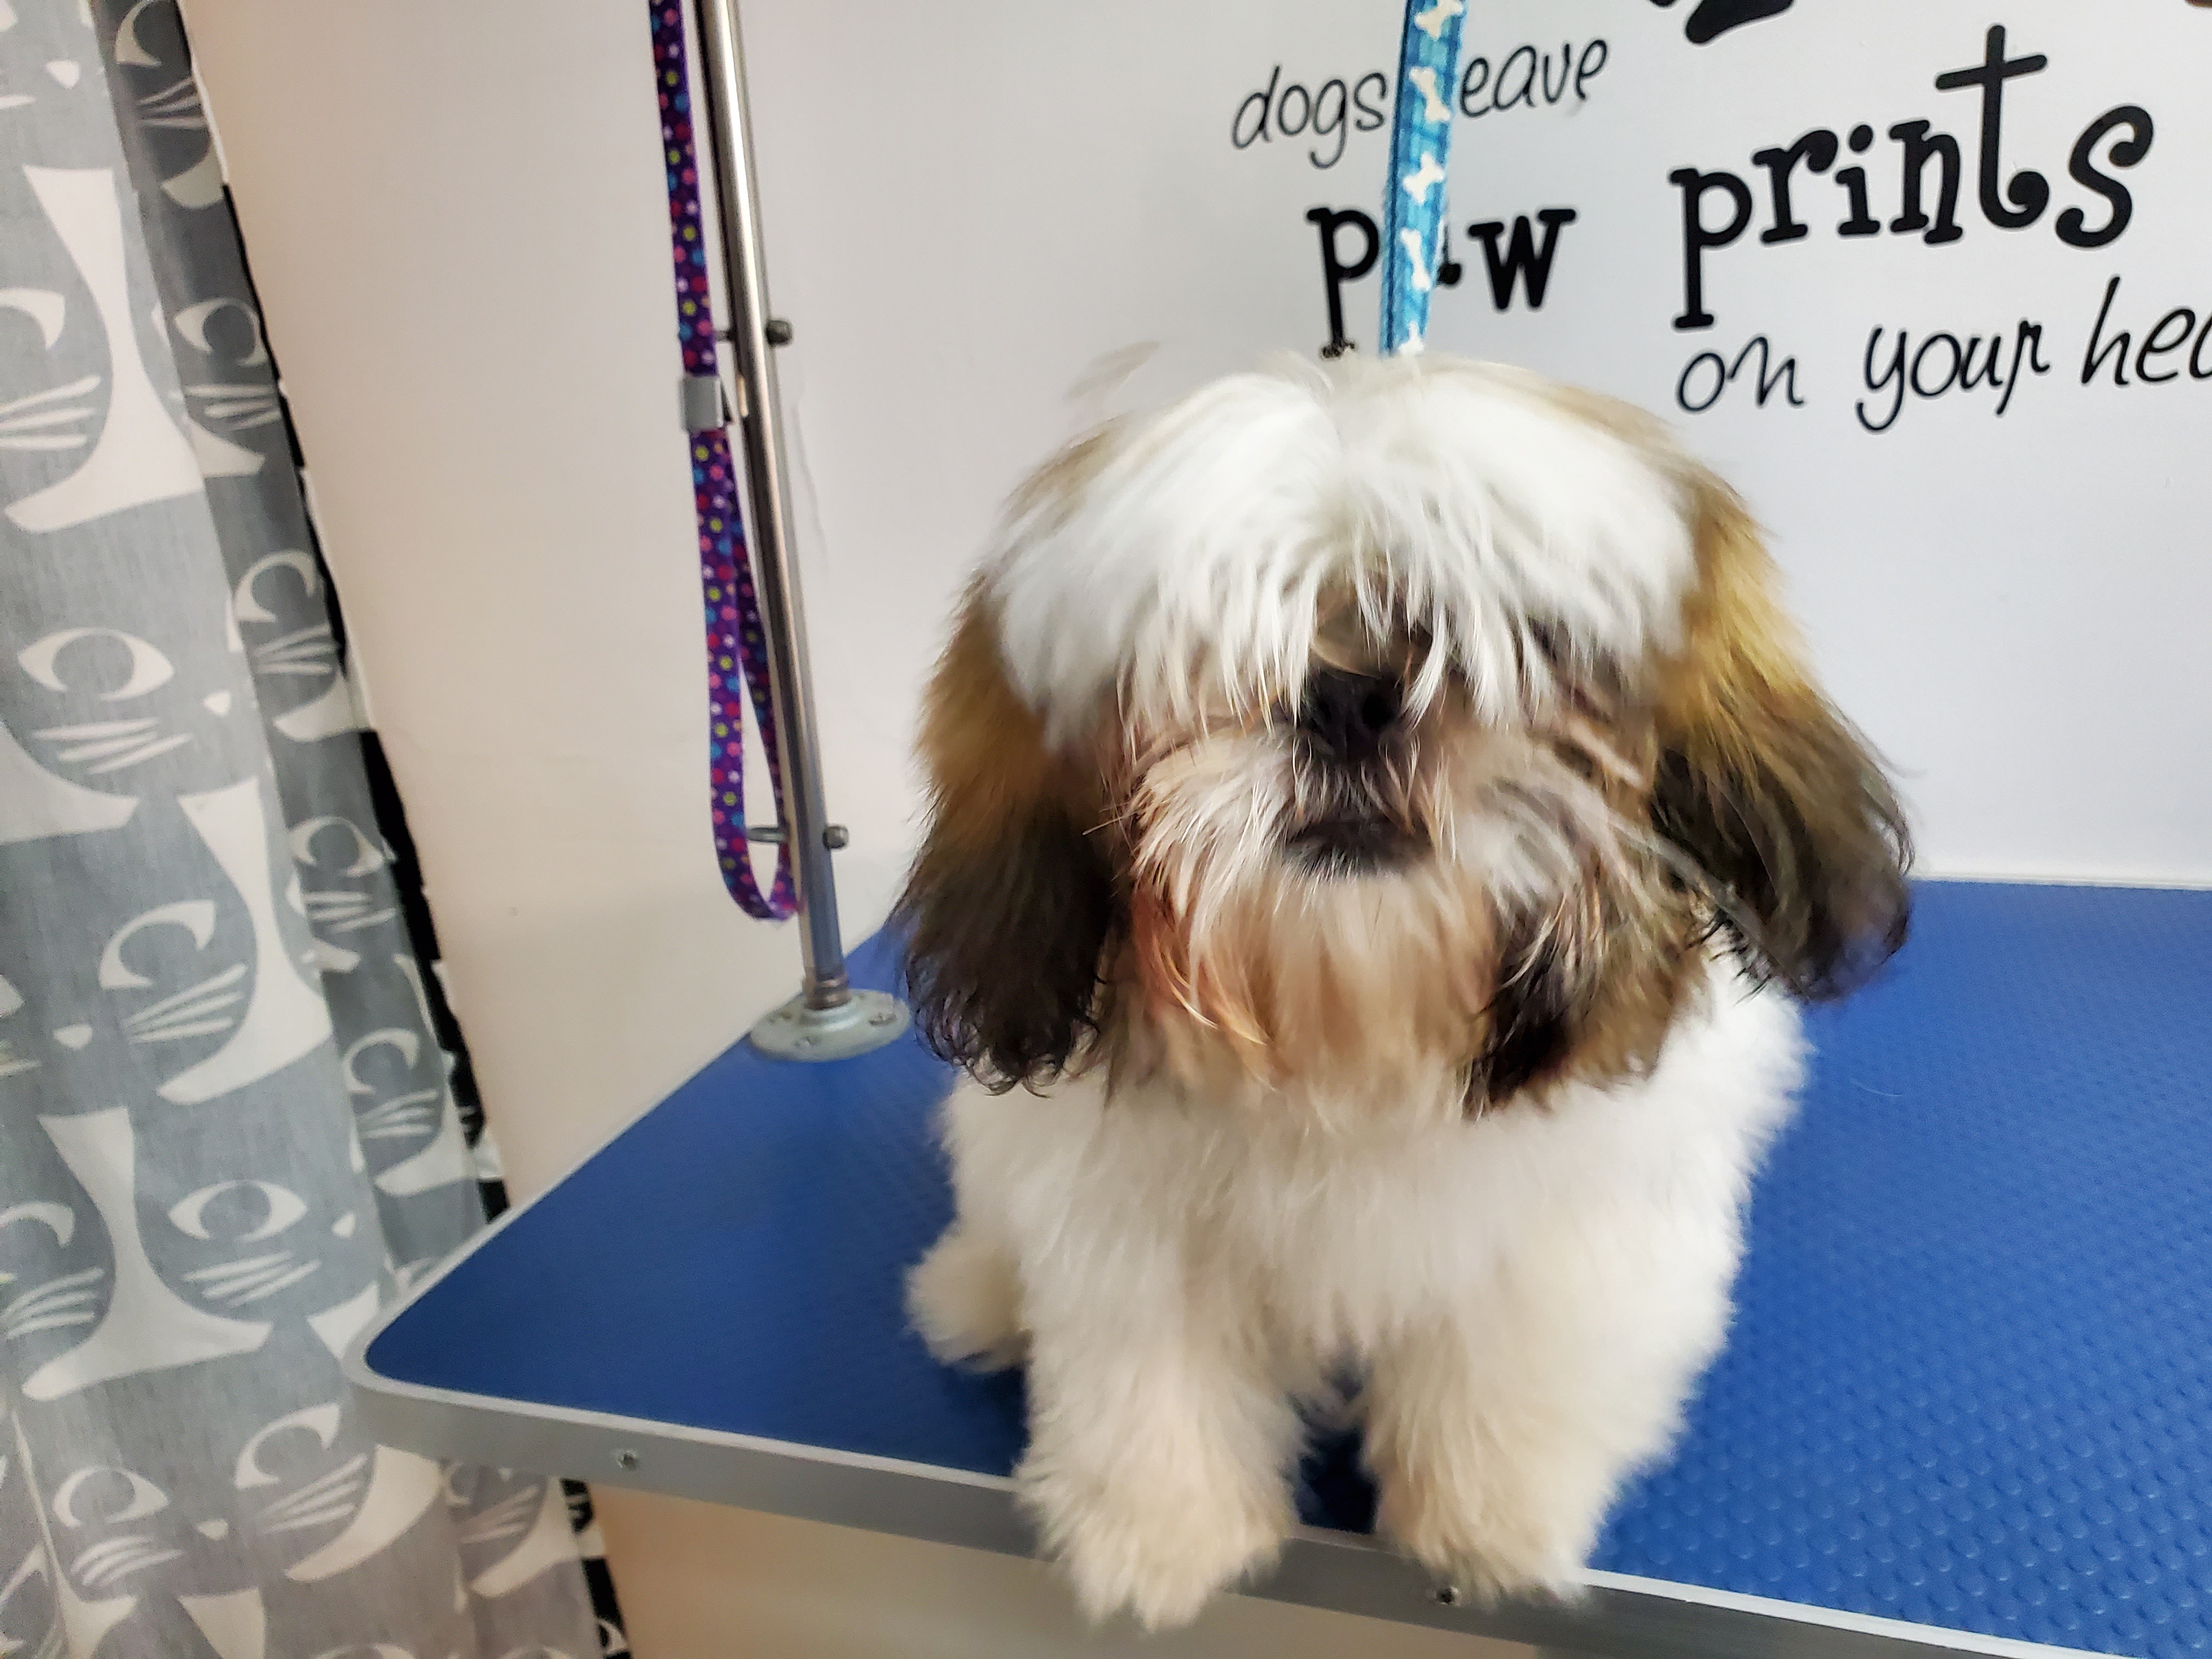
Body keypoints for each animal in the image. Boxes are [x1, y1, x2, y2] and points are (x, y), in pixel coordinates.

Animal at [896, 352, 1910, 1630]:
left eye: (1521, 642)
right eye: (1207, 656)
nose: (1346, 697)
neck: (1356, 1031)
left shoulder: (1572, 1221)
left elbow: (1513, 1352)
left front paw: (1490, 1515)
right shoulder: (1126, 1224)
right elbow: (1150, 1364)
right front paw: (1158, 1532)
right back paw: (974, 1294)